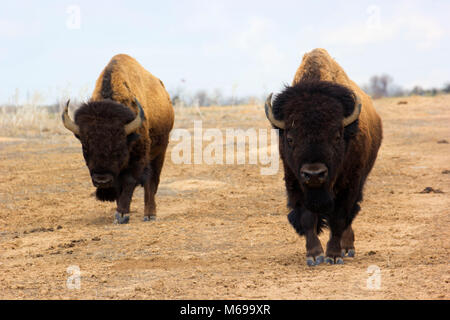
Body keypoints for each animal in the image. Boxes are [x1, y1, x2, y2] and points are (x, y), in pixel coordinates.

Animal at [62, 53, 175, 224]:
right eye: (85, 147)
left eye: (119, 147)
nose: (102, 180)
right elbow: (118, 185)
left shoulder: (137, 160)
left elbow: (129, 182)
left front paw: (122, 215)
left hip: (160, 152)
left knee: (152, 182)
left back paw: (149, 215)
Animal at [264, 48, 384, 264]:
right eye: (290, 139)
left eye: (336, 136)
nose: (314, 174)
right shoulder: (295, 183)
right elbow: (307, 218)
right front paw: (314, 255)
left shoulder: (349, 186)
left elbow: (339, 219)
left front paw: (334, 256)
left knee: (349, 217)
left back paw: (347, 248)